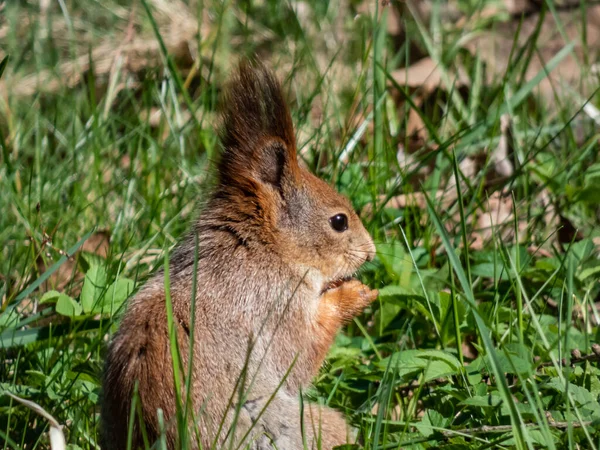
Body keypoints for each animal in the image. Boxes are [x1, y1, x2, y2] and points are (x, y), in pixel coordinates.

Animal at [101, 59, 378, 450]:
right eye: (339, 221)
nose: (370, 253)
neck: (263, 249)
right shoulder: (275, 303)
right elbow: (300, 353)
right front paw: (353, 295)